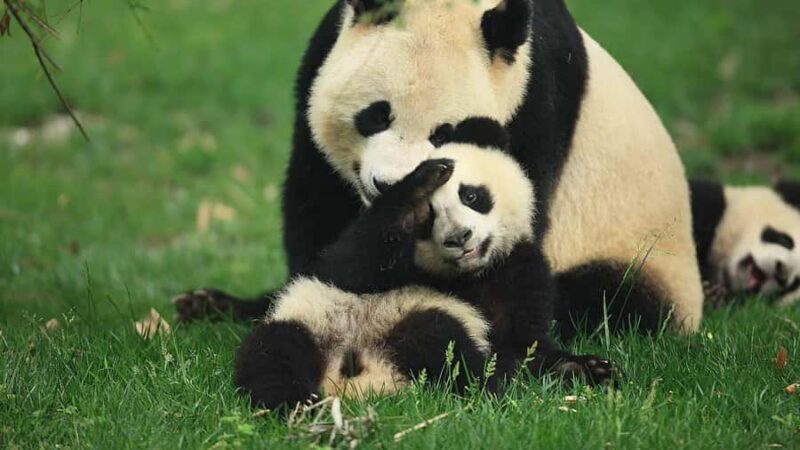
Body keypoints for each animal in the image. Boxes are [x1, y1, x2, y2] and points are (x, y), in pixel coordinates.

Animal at [175, 0, 703, 336]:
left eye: (443, 132)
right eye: (376, 115)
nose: (387, 185)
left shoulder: (537, 96)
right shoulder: (321, 59)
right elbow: (318, 211)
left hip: (640, 251)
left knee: (611, 300)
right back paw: (210, 303)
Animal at [234, 123, 614, 412]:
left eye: (471, 195)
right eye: (429, 218)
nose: (460, 237)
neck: (464, 276)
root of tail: (355, 372)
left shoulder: (517, 268)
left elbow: (523, 341)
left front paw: (586, 368)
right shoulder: (349, 265)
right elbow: (349, 262)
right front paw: (419, 184)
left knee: (442, 342)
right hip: (307, 322)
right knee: (273, 358)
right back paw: (299, 405)